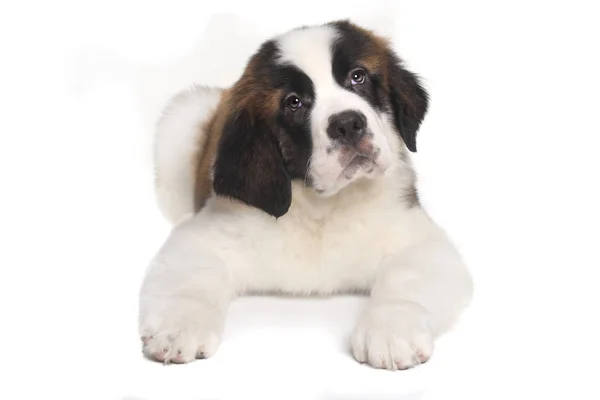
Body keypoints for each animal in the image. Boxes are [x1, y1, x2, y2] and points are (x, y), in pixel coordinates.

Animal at [141, 18, 474, 368]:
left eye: (358, 77)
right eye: (294, 102)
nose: (348, 124)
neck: (322, 206)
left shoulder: (420, 238)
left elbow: (407, 277)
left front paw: (391, 329)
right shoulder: (207, 233)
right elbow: (191, 277)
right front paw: (178, 326)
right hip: (185, 112)